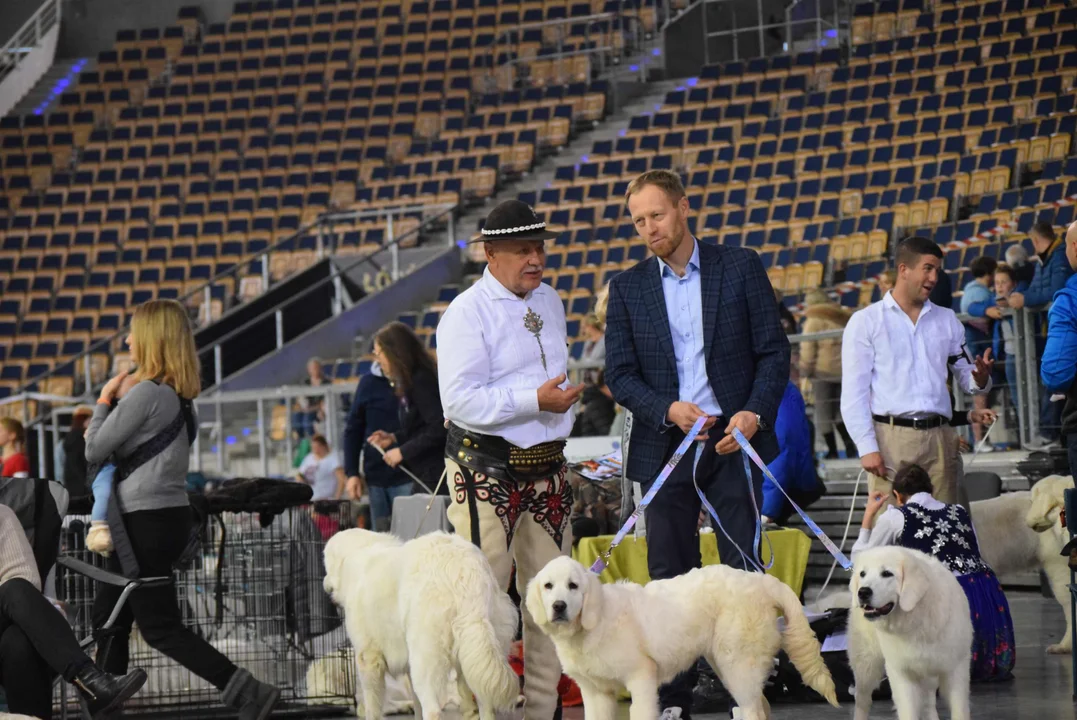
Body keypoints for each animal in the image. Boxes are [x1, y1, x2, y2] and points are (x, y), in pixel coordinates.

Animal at [320, 527, 519, 718]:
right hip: (479, 651)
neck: (360, 552)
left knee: (433, 709)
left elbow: (372, 708)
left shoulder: (368, 659)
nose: (324, 582)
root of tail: (464, 571)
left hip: (425, 657)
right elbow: (416, 705)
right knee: (486, 705)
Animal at [525, 555, 835, 718]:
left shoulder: (641, 678)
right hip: (728, 664)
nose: (559, 606)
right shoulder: (595, 692)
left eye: (573, 586)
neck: (594, 623)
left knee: (753, 710)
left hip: (738, 665)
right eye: (548, 586)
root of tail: (762, 580)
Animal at [848, 544, 977, 718]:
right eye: (863, 574)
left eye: (887, 573)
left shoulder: (956, 668)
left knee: (928, 703)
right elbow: (908, 710)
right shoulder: (902, 673)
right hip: (867, 665)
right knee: (862, 700)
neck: (917, 619)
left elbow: (959, 711)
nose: (863, 592)